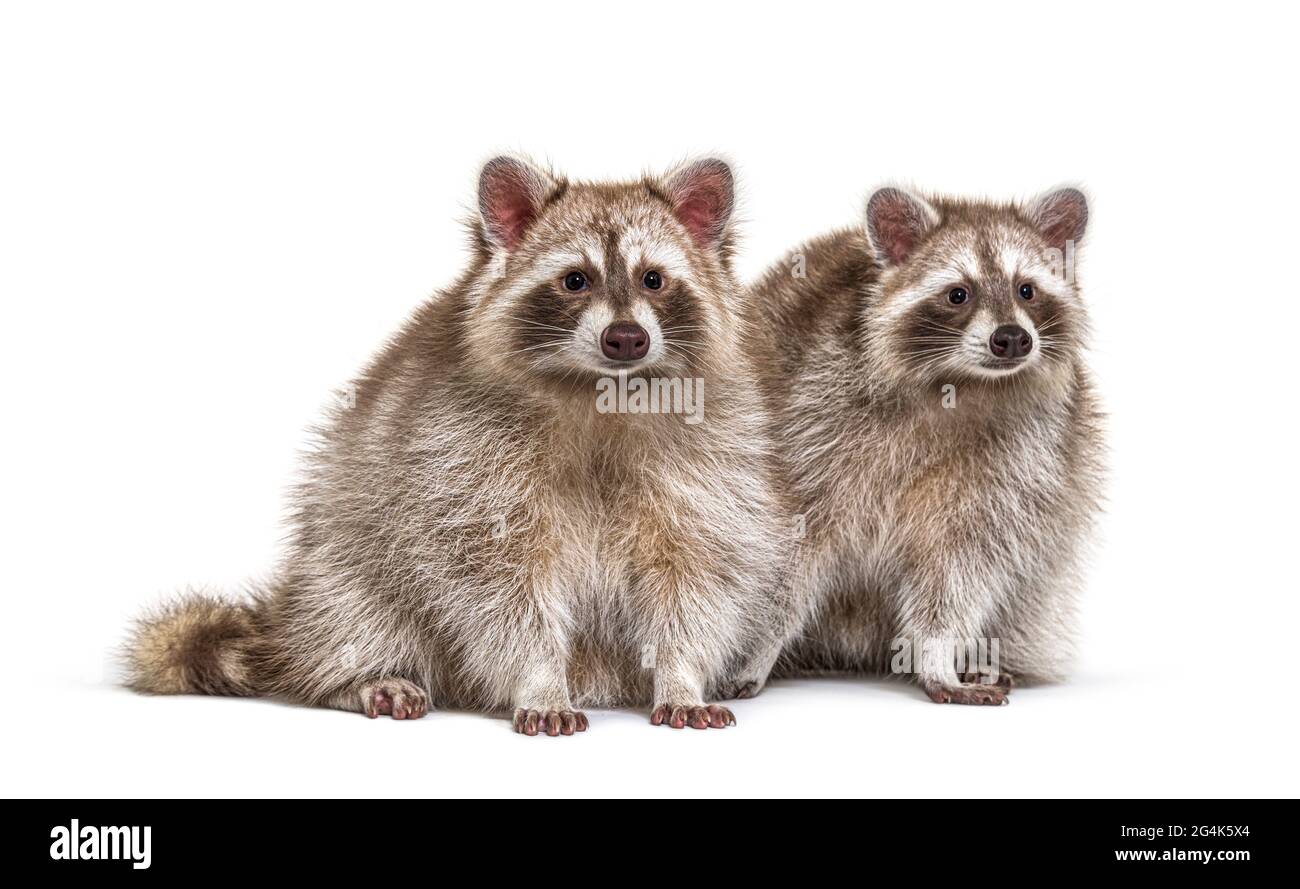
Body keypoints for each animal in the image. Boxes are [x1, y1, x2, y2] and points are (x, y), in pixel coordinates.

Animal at [125, 156, 791, 733]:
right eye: (575, 280)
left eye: (654, 279)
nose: (625, 338)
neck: (603, 392)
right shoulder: (460, 454)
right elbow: (494, 586)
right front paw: (540, 680)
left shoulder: (709, 459)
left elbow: (697, 574)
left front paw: (681, 676)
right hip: (341, 552)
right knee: (353, 605)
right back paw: (358, 674)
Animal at [730, 186, 1103, 704]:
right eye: (958, 293)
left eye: (1026, 289)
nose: (1012, 339)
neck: (962, 385)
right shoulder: (808, 424)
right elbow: (784, 551)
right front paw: (753, 647)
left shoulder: (1023, 459)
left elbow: (959, 570)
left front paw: (938, 658)